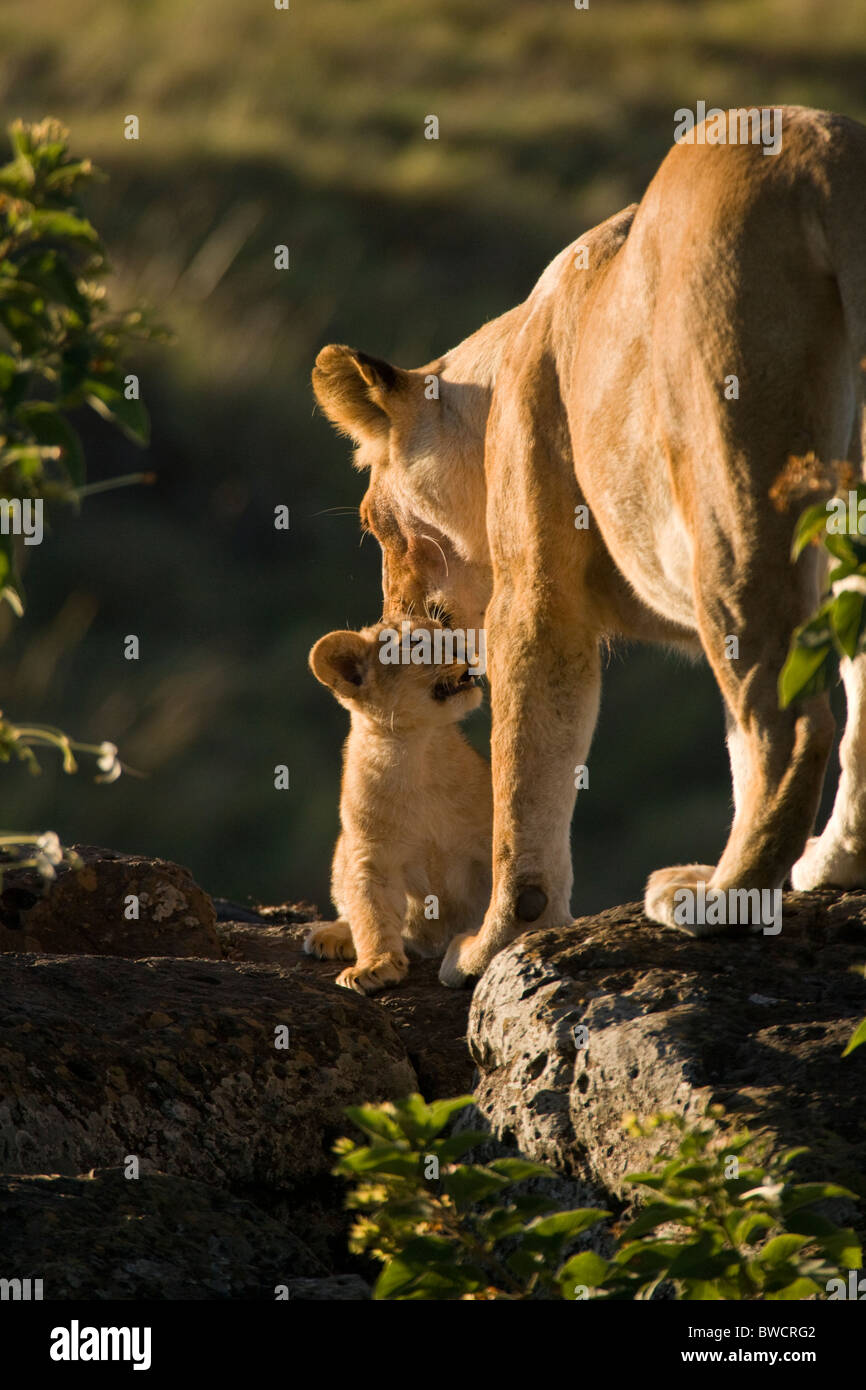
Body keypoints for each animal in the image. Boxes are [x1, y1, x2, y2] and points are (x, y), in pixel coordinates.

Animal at [304, 619, 491, 993]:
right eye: (416, 644)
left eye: (444, 629)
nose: (464, 644)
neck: (417, 752)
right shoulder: (370, 856)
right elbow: (371, 915)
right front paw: (375, 966)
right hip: (343, 849)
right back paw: (332, 936)